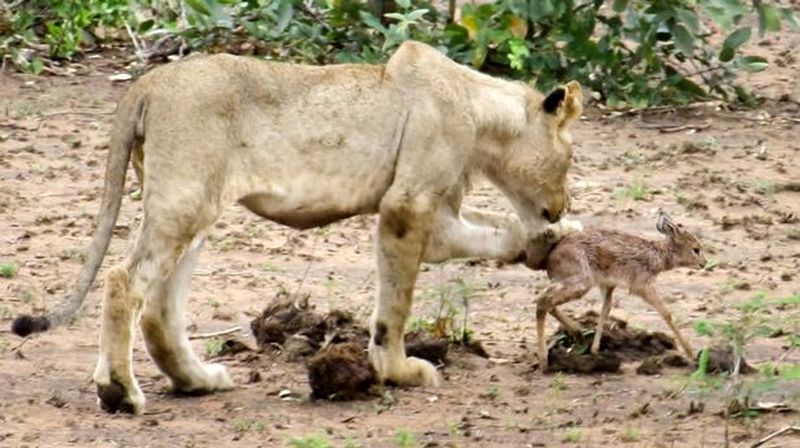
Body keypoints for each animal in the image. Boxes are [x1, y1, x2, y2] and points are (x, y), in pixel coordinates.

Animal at [536, 212, 708, 372]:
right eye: (696, 249)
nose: (704, 263)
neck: (657, 255)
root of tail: (550, 259)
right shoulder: (643, 286)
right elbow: (666, 313)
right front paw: (691, 354)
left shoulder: (608, 286)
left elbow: (605, 310)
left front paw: (595, 350)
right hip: (580, 283)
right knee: (542, 301)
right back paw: (544, 362)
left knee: (548, 303)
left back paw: (578, 336)